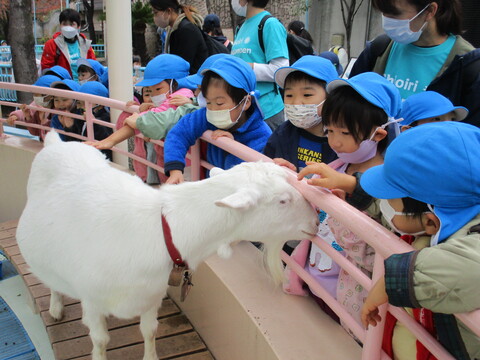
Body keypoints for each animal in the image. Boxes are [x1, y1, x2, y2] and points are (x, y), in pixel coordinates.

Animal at [15, 131, 318, 360]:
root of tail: (56, 142)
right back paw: (55, 308)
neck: (163, 232)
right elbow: (100, 340)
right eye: (282, 200)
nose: (315, 222)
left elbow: (149, 331)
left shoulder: (151, 297)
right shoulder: (92, 300)